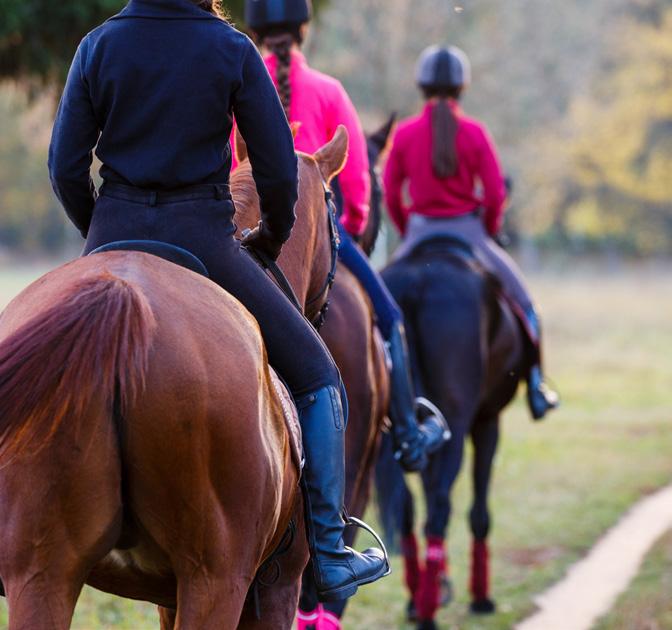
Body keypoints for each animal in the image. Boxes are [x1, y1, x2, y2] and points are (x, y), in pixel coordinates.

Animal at [376, 237, 528, 630]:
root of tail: (417, 281)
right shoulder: (488, 422)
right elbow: (478, 511)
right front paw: (479, 597)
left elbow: (424, 492)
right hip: (458, 426)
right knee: (440, 510)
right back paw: (430, 609)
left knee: (408, 507)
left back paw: (419, 598)